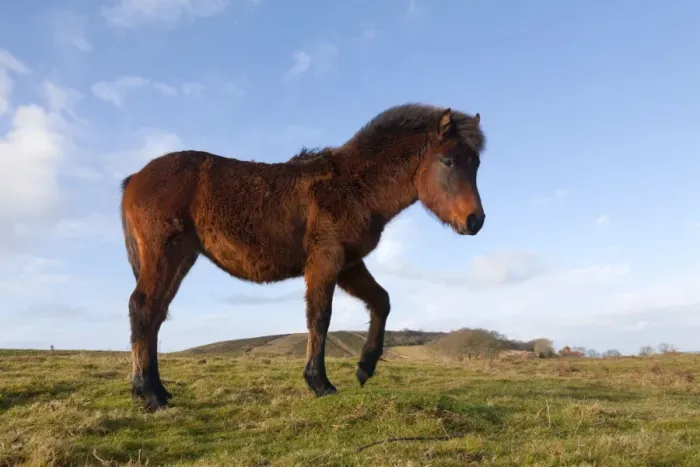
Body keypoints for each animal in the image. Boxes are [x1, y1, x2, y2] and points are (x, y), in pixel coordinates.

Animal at [119, 102, 487, 411]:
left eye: (477, 164)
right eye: (448, 161)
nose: (475, 221)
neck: (355, 188)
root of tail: (135, 178)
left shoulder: (348, 265)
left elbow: (381, 301)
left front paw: (365, 367)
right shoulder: (325, 262)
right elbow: (320, 317)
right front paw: (319, 382)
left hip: (180, 259)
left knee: (156, 314)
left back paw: (155, 389)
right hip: (166, 255)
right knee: (144, 308)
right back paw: (149, 393)